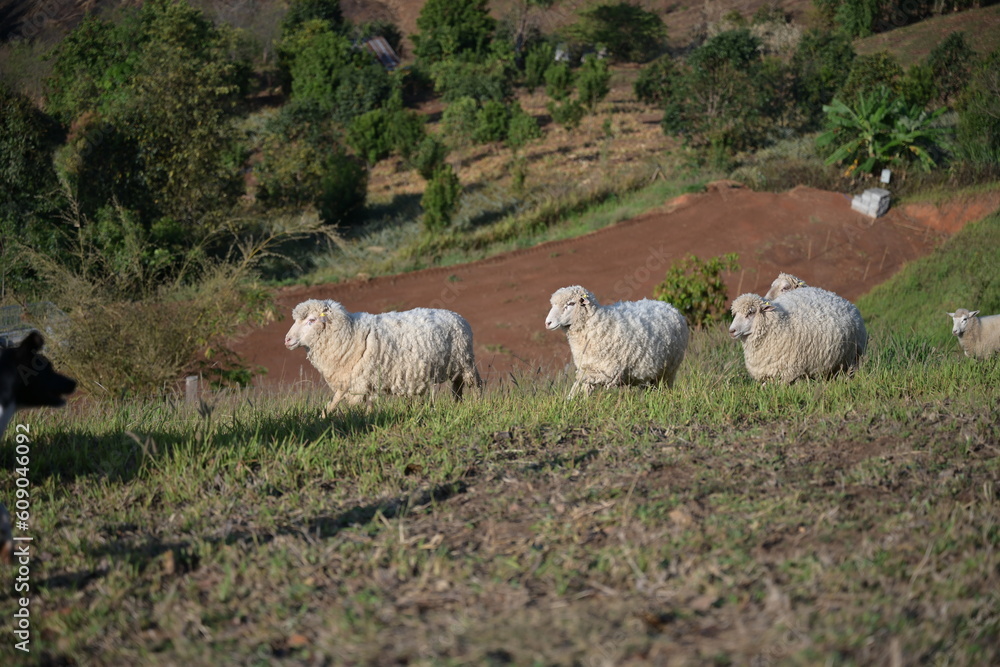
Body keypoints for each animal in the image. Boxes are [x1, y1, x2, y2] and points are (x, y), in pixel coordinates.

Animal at [284, 299, 482, 414]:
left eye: (311, 320)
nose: (287, 339)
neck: (349, 334)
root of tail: (458, 316)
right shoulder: (355, 380)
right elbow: (341, 404)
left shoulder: (360, 379)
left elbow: (335, 403)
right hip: (455, 367)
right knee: (457, 387)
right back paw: (458, 405)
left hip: (466, 361)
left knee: (476, 385)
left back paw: (476, 405)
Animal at [545, 285, 689, 398]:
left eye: (570, 303)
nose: (548, 323)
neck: (597, 325)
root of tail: (669, 306)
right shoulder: (588, 365)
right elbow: (580, 385)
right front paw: (570, 402)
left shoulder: (610, 373)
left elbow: (582, 378)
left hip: (669, 369)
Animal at [729, 289, 867, 384]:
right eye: (735, 314)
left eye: (750, 312)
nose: (731, 330)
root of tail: (843, 300)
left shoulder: (788, 373)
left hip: (855, 356)